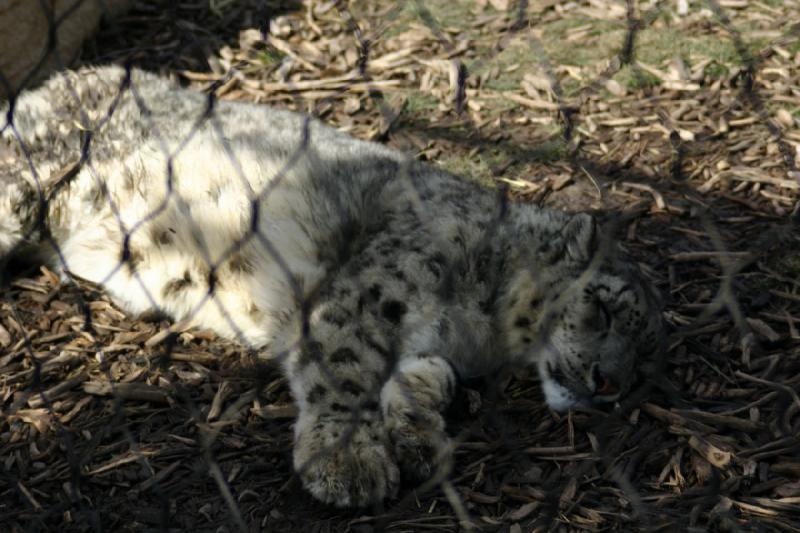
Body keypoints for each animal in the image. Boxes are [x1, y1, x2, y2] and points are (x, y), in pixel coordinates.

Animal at [0, 65, 664, 508]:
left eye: (642, 359)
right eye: (603, 308)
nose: (608, 382)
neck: (481, 332)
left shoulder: (435, 348)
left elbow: (425, 376)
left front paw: (416, 434)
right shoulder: (372, 292)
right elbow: (345, 370)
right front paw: (349, 462)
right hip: (26, 180)